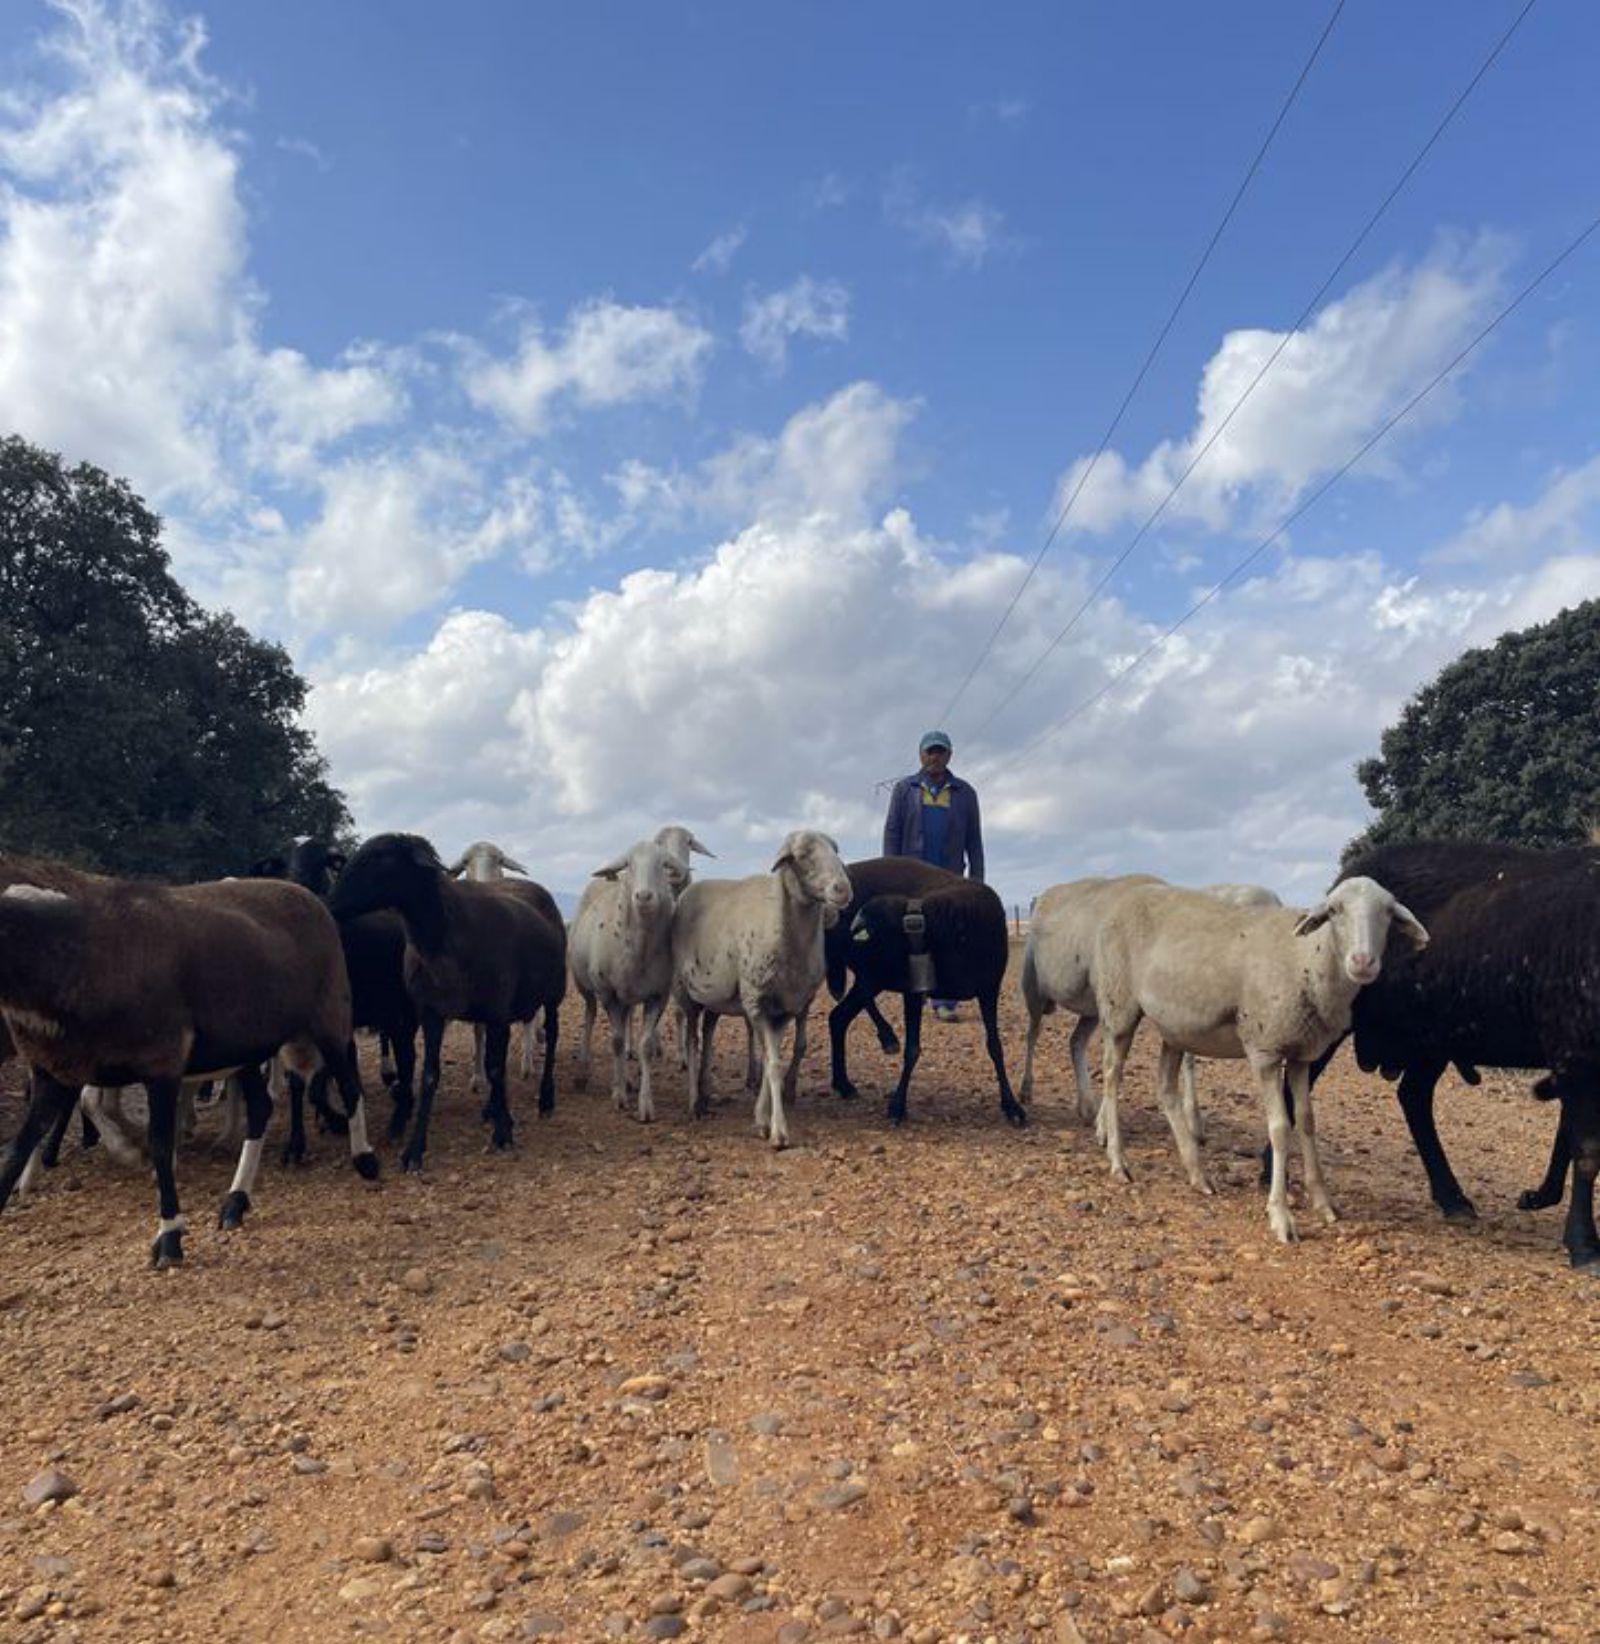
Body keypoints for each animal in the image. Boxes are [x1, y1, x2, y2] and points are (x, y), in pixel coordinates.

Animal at [670, 835, 855, 1144]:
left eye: (836, 850)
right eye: (801, 855)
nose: (842, 889)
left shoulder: (786, 1007)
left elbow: (774, 1059)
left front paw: (761, 1118)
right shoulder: (755, 1002)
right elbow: (772, 1063)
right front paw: (778, 1130)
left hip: (716, 996)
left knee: (708, 1033)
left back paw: (706, 1092)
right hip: (686, 992)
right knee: (692, 1041)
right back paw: (695, 1101)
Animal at [828, 887, 1019, 1131]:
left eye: (872, 931)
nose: (845, 947)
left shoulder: (990, 989)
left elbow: (995, 1046)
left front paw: (1012, 1106)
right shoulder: (912, 988)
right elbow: (912, 1049)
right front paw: (897, 1107)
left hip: (875, 976)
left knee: (839, 1016)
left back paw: (844, 1084)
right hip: (876, 977)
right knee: (852, 1006)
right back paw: (886, 1038)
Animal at [1091, 881, 1427, 1236]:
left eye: (1388, 912)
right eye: (1334, 910)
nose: (1363, 962)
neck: (1308, 958)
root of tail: (1130, 896)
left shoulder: (1301, 1054)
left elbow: (1306, 1121)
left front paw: (1323, 1202)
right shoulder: (1265, 1050)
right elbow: (1279, 1128)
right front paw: (1280, 1214)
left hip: (1176, 1026)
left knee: (1165, 1087)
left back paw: (1198, 1174)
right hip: (1119, 1004)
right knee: (1112, 1075)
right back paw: (1118, 1160)